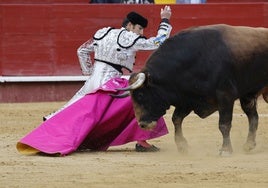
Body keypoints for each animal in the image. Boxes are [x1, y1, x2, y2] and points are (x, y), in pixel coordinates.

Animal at [116, 23, 268, 156]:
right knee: (253, 117)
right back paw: (248, 145)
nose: (142, 124)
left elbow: (224, 124)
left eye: (141, 95)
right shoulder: (187, 99)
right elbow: (176, 119)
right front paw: (182, 146)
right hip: (248, 95)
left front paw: (225, 150)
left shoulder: (225, 95)